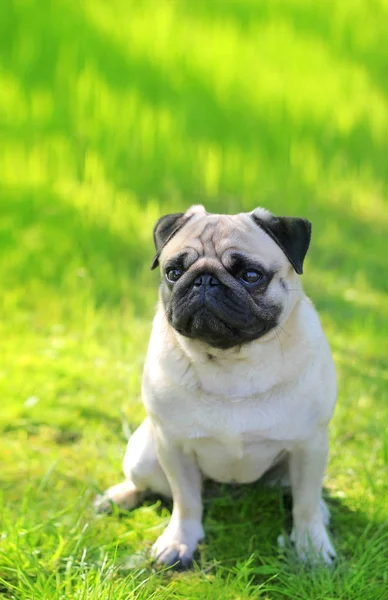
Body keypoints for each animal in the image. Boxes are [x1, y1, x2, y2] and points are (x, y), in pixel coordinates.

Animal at [96, 206, 336, 568]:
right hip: (143, 453)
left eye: (251, 275)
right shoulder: (174, 446)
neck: (229, 364)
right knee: (146, 484)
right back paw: (118, 497)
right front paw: (179, 541)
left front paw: (312, 546)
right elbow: (185, 502)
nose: (204, 280)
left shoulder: (310, 445)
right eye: (173, 272)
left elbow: (305, 504)